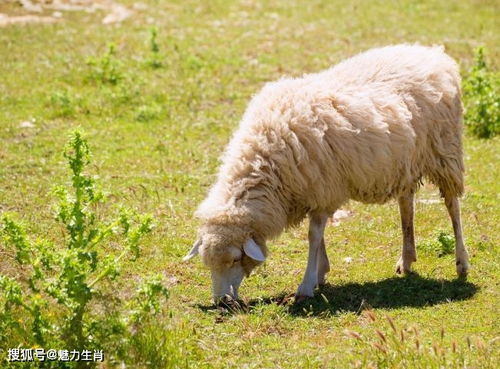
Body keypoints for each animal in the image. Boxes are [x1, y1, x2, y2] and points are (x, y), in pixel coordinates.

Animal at [184, 43, 468, 302]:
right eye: (208, 264)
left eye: (235, 259)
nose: (221, 301)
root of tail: (433, 53)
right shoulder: (315, 190)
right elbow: (317, 236)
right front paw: (320, 273)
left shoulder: (322, 188)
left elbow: (313, 236)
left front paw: (307, 285)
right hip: (405, 162)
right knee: (406, 205)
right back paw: (406, 259)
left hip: (446, 151)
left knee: (452, 206)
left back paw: (462, 263)